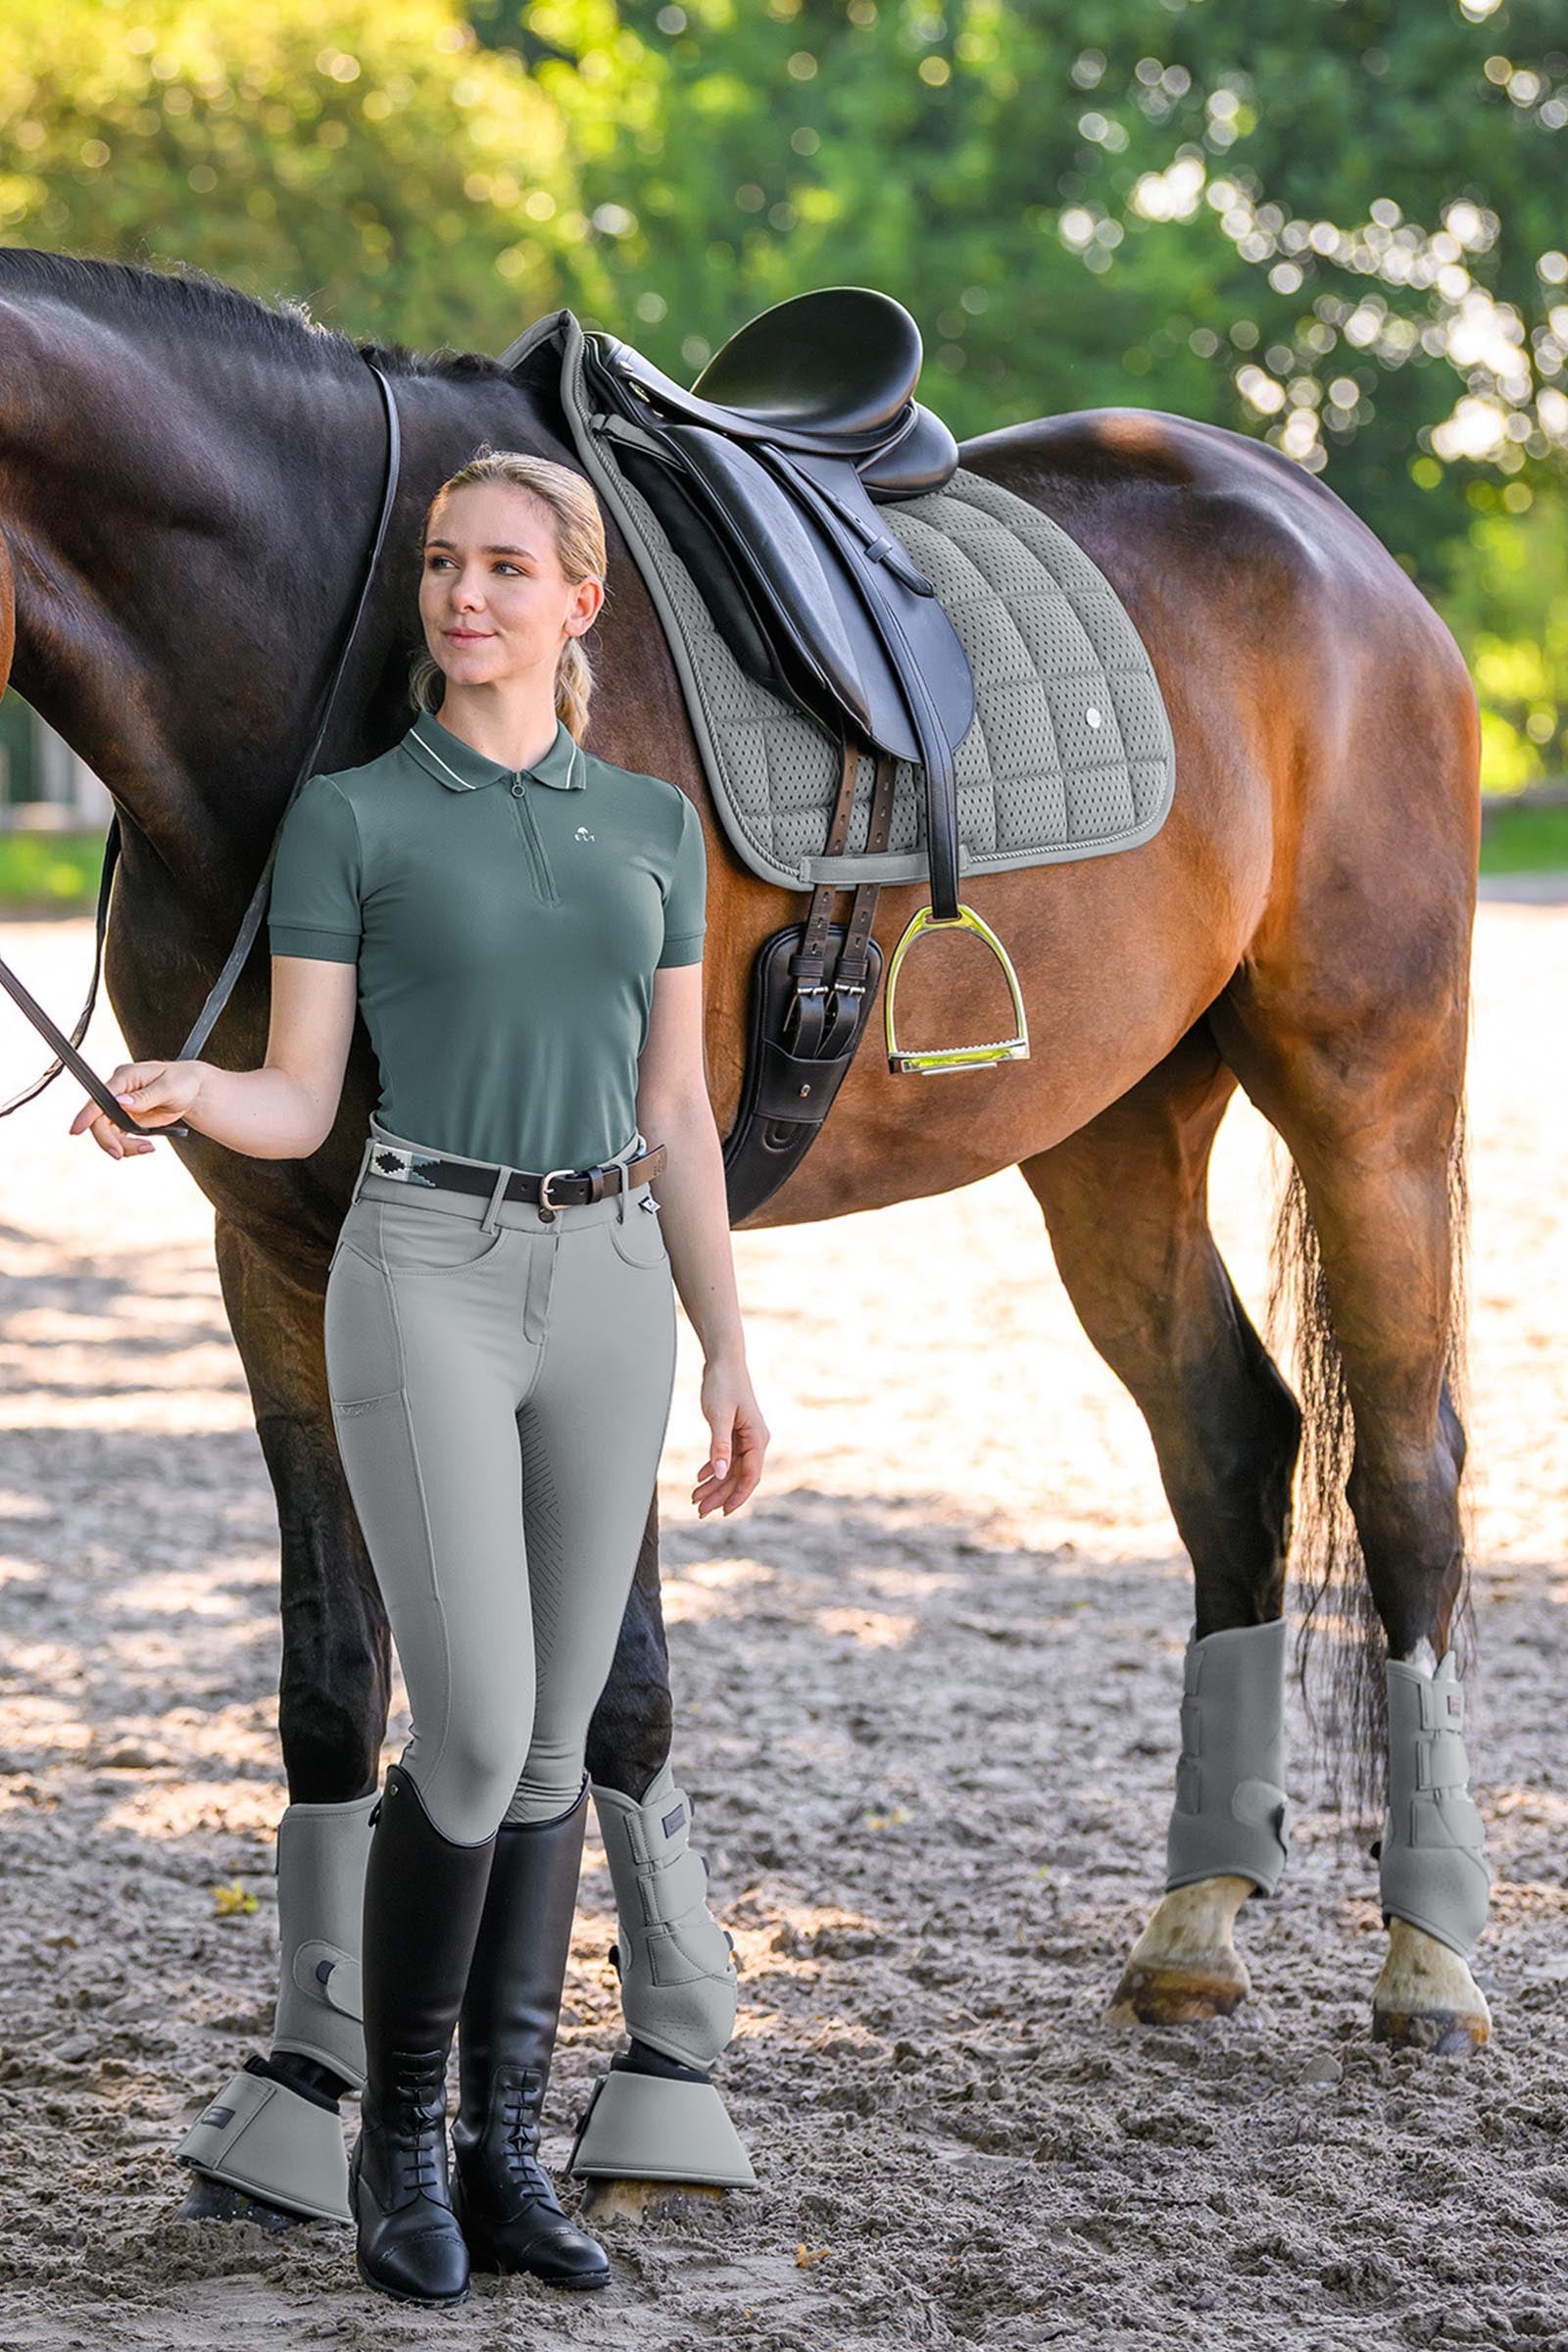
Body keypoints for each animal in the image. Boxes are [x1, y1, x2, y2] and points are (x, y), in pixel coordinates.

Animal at [0, 248, 1484, 2228]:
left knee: (1405, 1477)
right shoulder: (281, 1261)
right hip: (1114, 1141)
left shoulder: (605, 1238)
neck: (324, 647)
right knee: (1236, 1451)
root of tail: (1336, 543)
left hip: (1369, 1091)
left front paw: (657, 2093)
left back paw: (1431, 1964)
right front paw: (304, 2106)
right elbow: (336, 1683)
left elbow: (606, 1699)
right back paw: (1194, 1928)